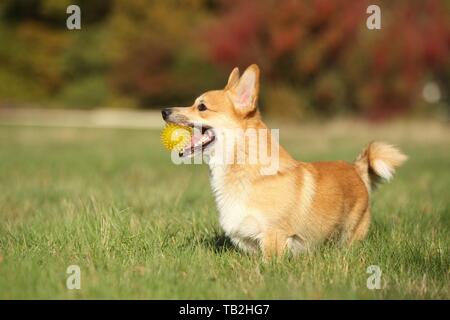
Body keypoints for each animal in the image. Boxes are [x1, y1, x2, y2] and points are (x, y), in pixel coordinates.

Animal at [160, 63, 406, 258]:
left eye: (201, 107)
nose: (164, 111)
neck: (244, 167)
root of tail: (356, 169)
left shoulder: (274, 237)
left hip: (351, 234)